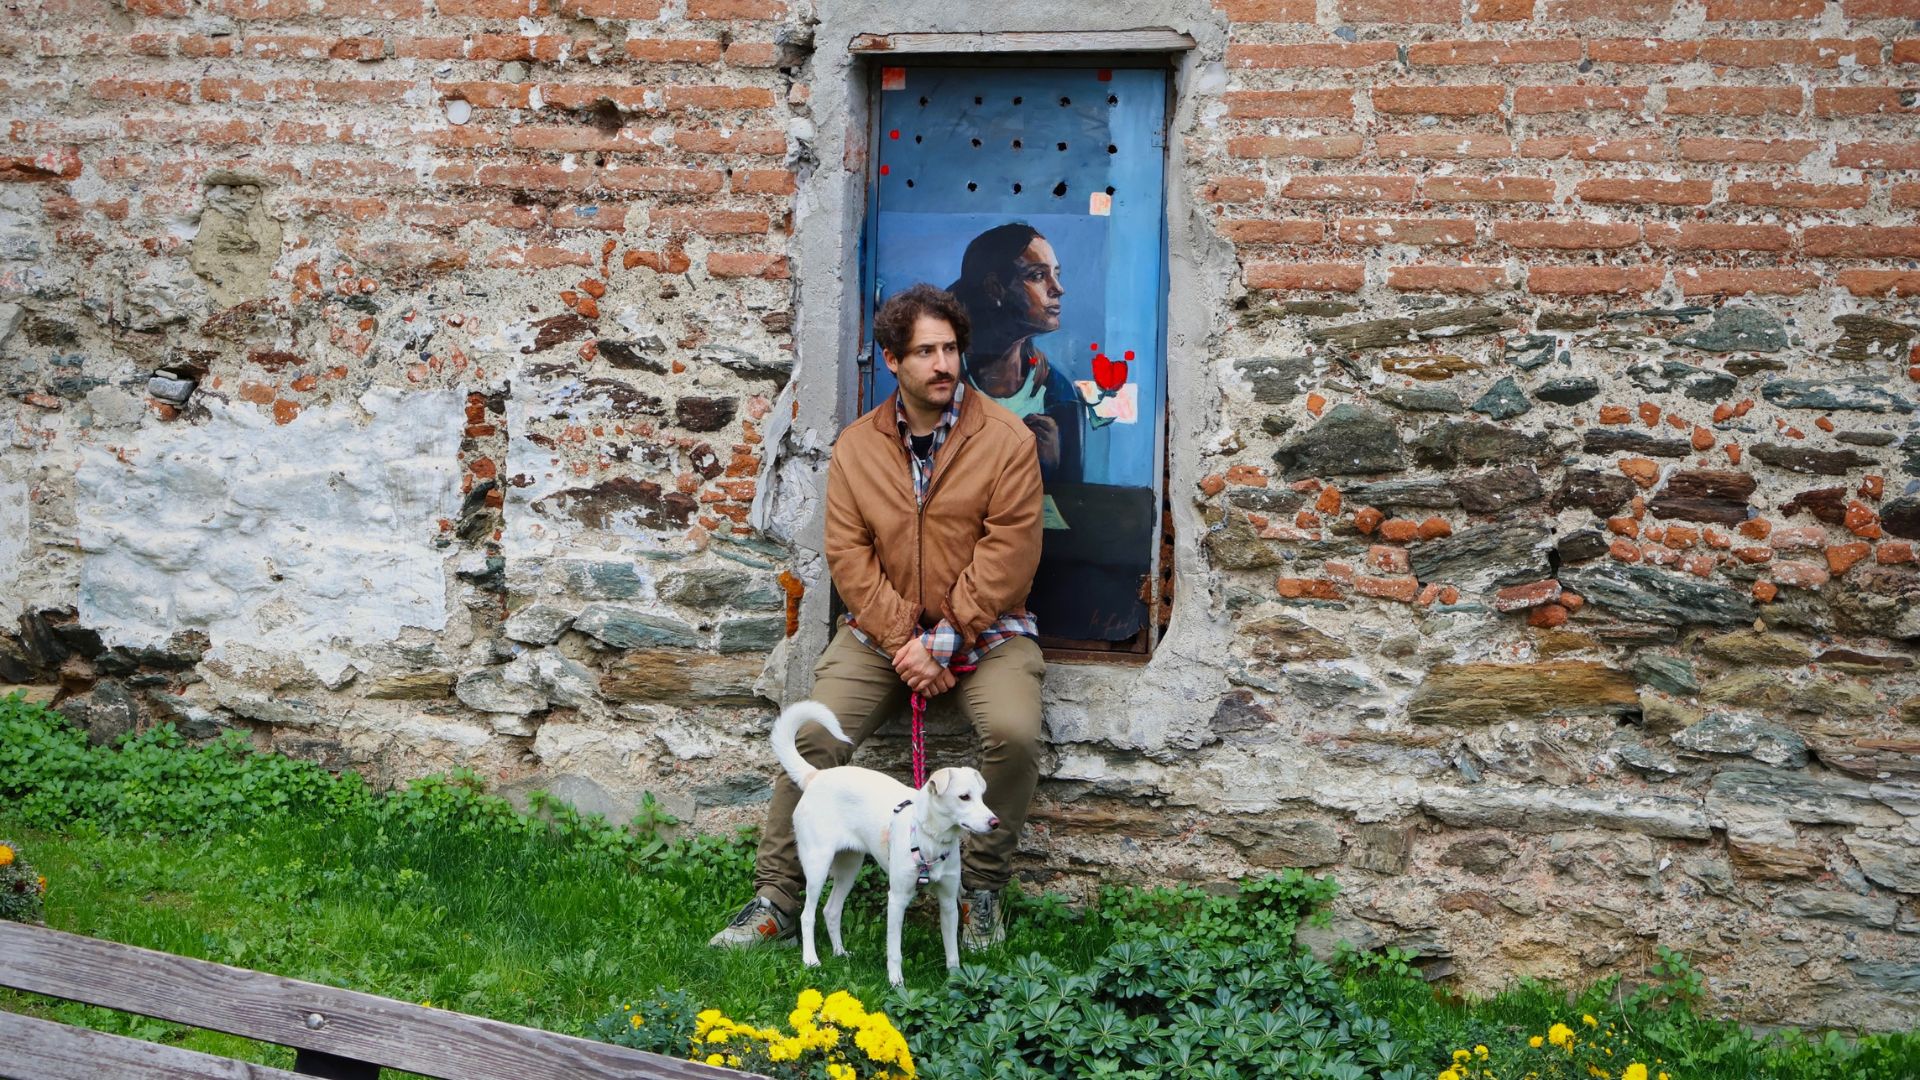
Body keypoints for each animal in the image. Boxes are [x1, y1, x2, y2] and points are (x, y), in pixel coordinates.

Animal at [772, 699, 1000, 985]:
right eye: (964, 797)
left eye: (982, 796)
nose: (995, 822)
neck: (931, 838)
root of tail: (816, 776)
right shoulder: (897, 899)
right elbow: (894, 951)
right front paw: (896, 983)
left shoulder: (949, 902)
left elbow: (952, 951)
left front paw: (955, 981)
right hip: (817, 866)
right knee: (807, 915)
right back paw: (811, 960)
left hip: (849, 867)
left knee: (831, 911)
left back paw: (840, 952)